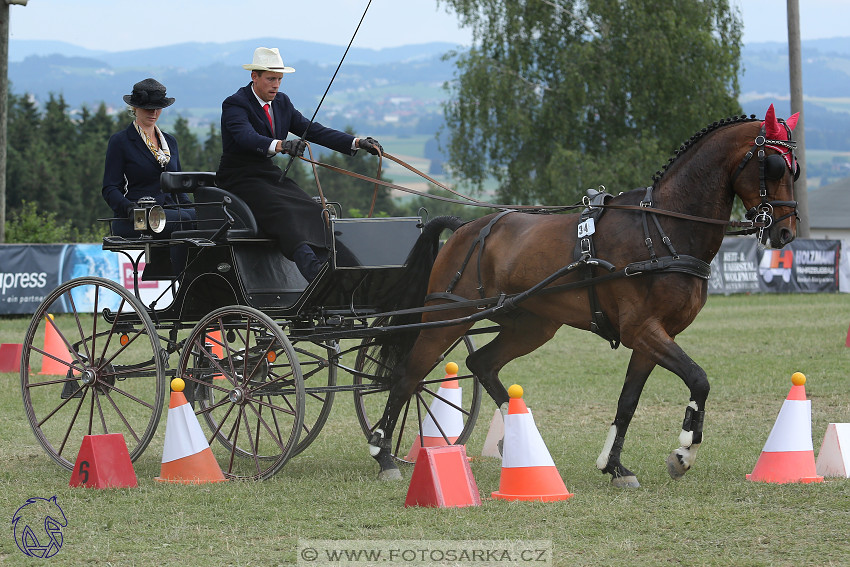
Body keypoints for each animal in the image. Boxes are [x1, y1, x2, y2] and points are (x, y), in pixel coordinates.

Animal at [368, 104, 800, 486]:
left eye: (794, 167)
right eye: (774, 166)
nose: (785, 232)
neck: (664, 231)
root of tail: (464, 228)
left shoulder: (654, 336)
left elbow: (628, 401)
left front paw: (615, 466)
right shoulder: (642, 330)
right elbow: (699, 379)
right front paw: (683, 453)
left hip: (530, 326)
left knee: (482, 365)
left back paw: (515, 441)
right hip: (446, 318)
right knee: (407, 376)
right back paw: (383, 452)